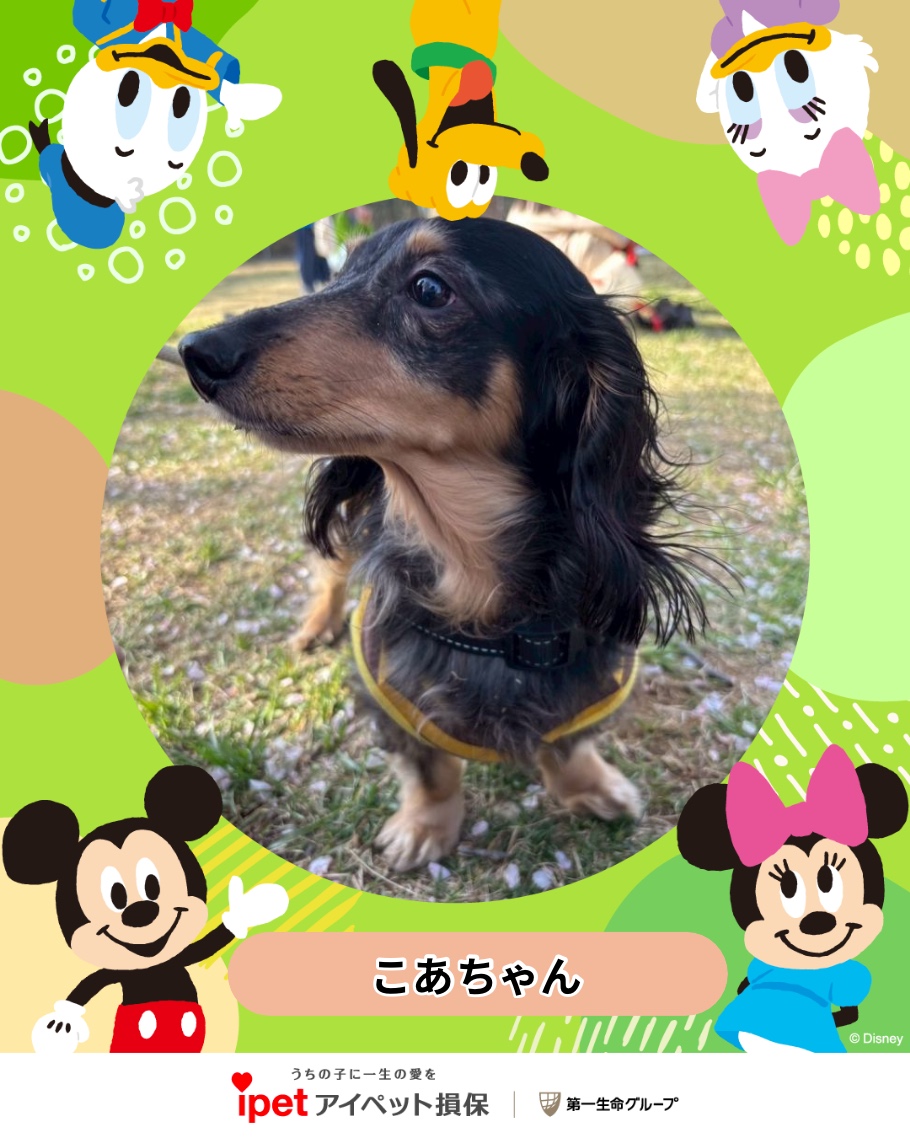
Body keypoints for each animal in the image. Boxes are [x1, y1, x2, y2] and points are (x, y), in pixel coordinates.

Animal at [180, 217, 713, 872]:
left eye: (430, 289)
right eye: (341, 270)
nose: (196, 351)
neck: (472, 576)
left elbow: (568, 741)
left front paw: (589, 785)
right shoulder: (385, 678)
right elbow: (430, 766)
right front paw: (426, 824)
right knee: (332, 572)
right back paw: (316, 626)